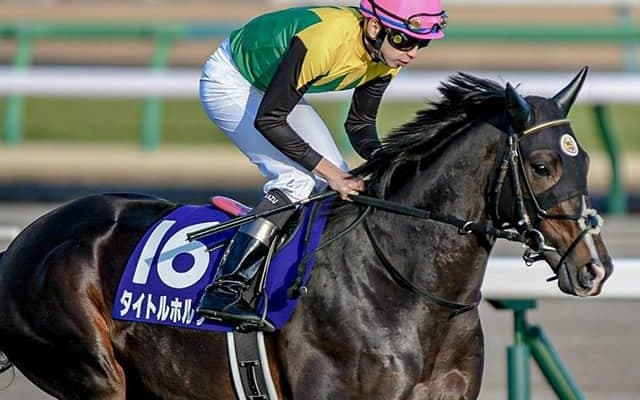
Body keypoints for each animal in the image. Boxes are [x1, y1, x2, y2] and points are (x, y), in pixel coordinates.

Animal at [0, 68, 612, 399]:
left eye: (582, 162)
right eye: (541, 165)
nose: (595, 267)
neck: (404, 288)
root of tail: (23, 241)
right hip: (91, 373)